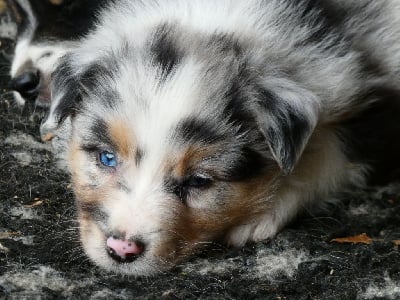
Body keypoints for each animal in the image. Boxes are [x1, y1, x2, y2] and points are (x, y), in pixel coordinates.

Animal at [38, 0, 400, 276]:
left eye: (199, 181)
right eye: (107, 157)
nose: (121, 249)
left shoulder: (370, 117)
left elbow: (325, 157)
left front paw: (261, 215)